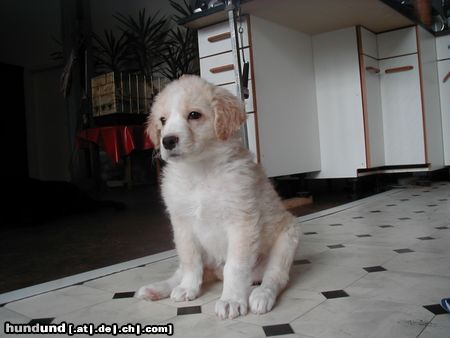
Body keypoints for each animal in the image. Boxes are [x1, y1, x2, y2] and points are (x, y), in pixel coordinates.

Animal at [135, 74, 300, 320]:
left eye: (194, 115)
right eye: (163, 120)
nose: (167, 141)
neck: (200, 171)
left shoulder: (242, 222)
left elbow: (235, 267)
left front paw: (231, 300)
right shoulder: (182, 224)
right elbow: (190, 261)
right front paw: (188, 288)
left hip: (287, 239)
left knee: (275, 277)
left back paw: (261, 295)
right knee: (185, 270)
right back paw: (159, 288)